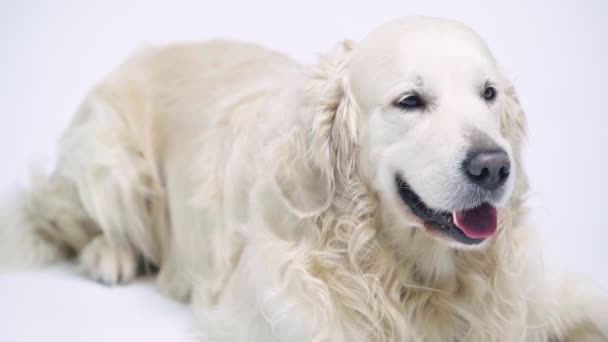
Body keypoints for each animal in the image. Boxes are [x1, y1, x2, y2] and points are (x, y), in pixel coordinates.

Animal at [1, 16, 608, 342]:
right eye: (410, 101)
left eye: (488, 93)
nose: (493, 166)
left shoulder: (538, 298)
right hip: (109, 159)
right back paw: (111, 254)